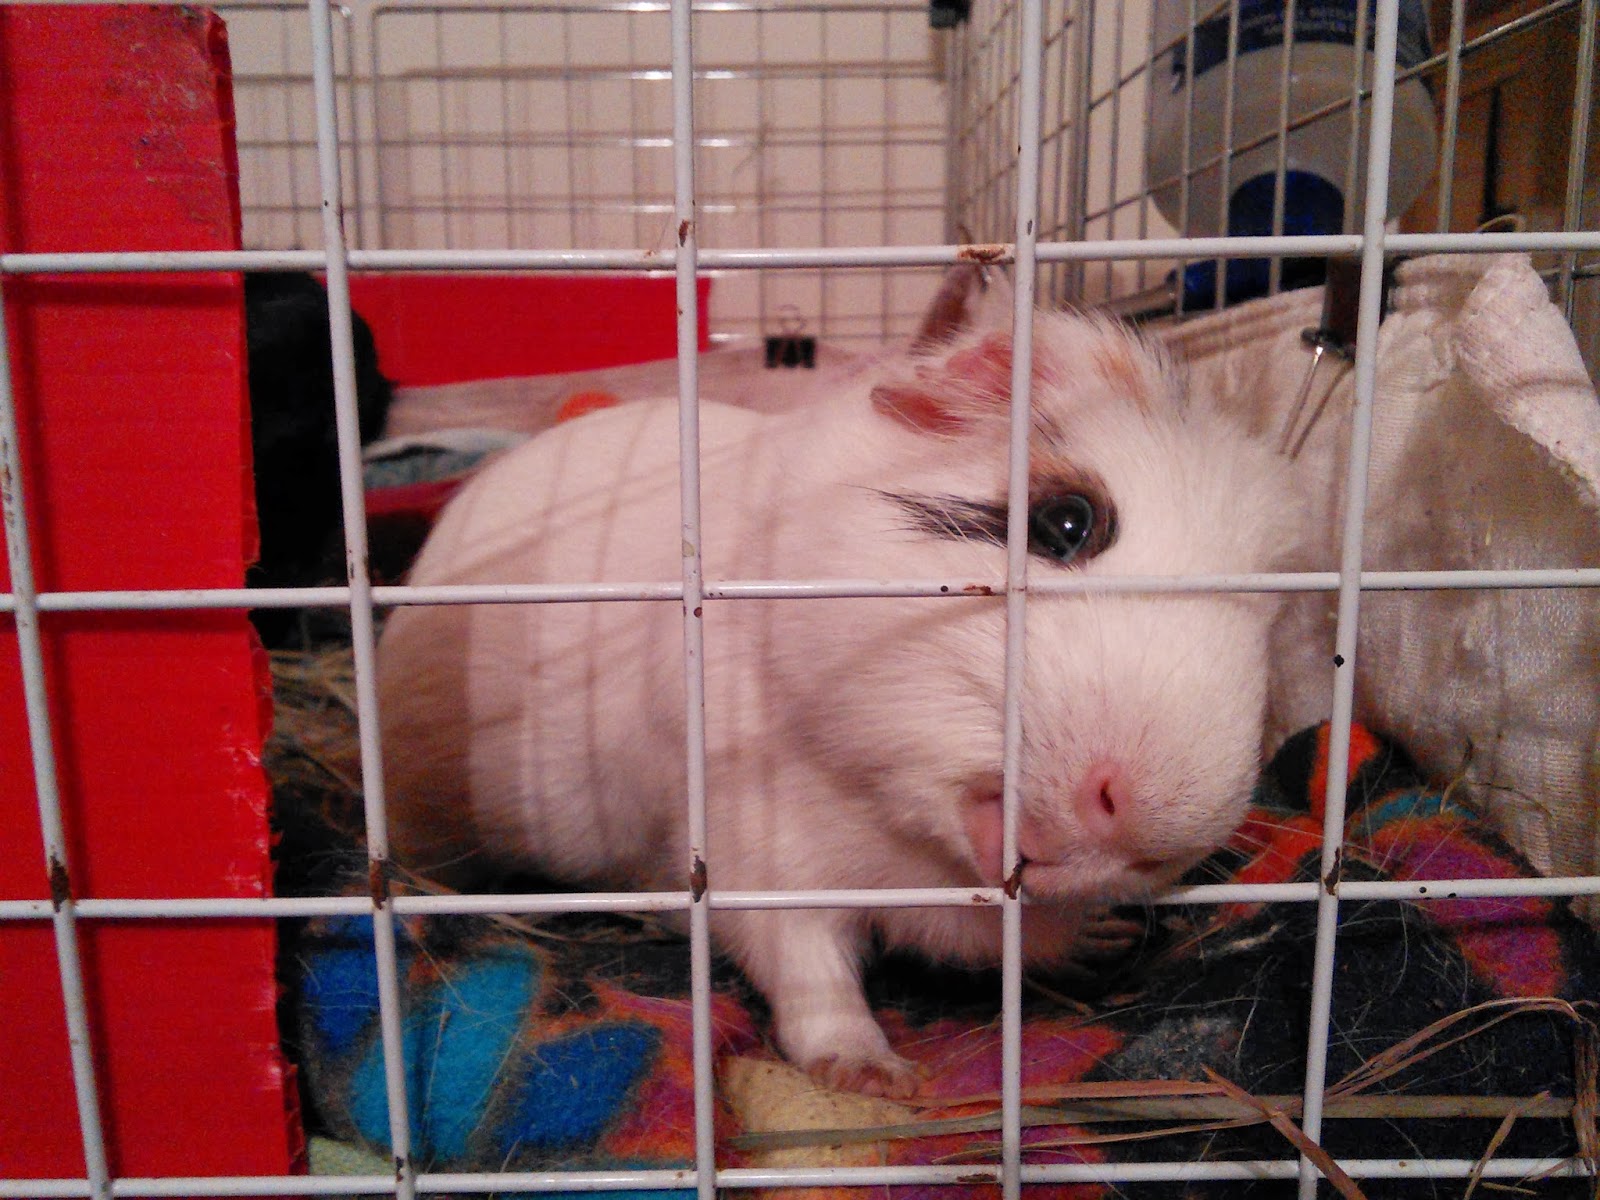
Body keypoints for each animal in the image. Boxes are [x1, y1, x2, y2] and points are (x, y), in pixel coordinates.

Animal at [376, 270, 1302, 1098]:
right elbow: (812, 975)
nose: (1155, 830)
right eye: (1065, 522)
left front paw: (1101, 938)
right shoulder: (762, 858)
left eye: (1271, 619)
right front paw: (876, 1077)